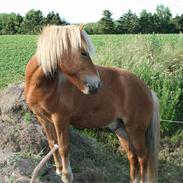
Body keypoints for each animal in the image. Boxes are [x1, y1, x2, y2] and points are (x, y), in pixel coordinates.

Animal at [24, 24, 160, 183]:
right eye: (83, 53)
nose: (97, 85)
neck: (43, 85)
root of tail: (147, 89)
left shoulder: (60, 119)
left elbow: (63, 146)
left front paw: (67, 175)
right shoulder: (43, 119)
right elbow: (52, 143)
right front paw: (58, 169)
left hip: (135, 130)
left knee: (143, 157)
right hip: (121, 130)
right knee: (133, 158)